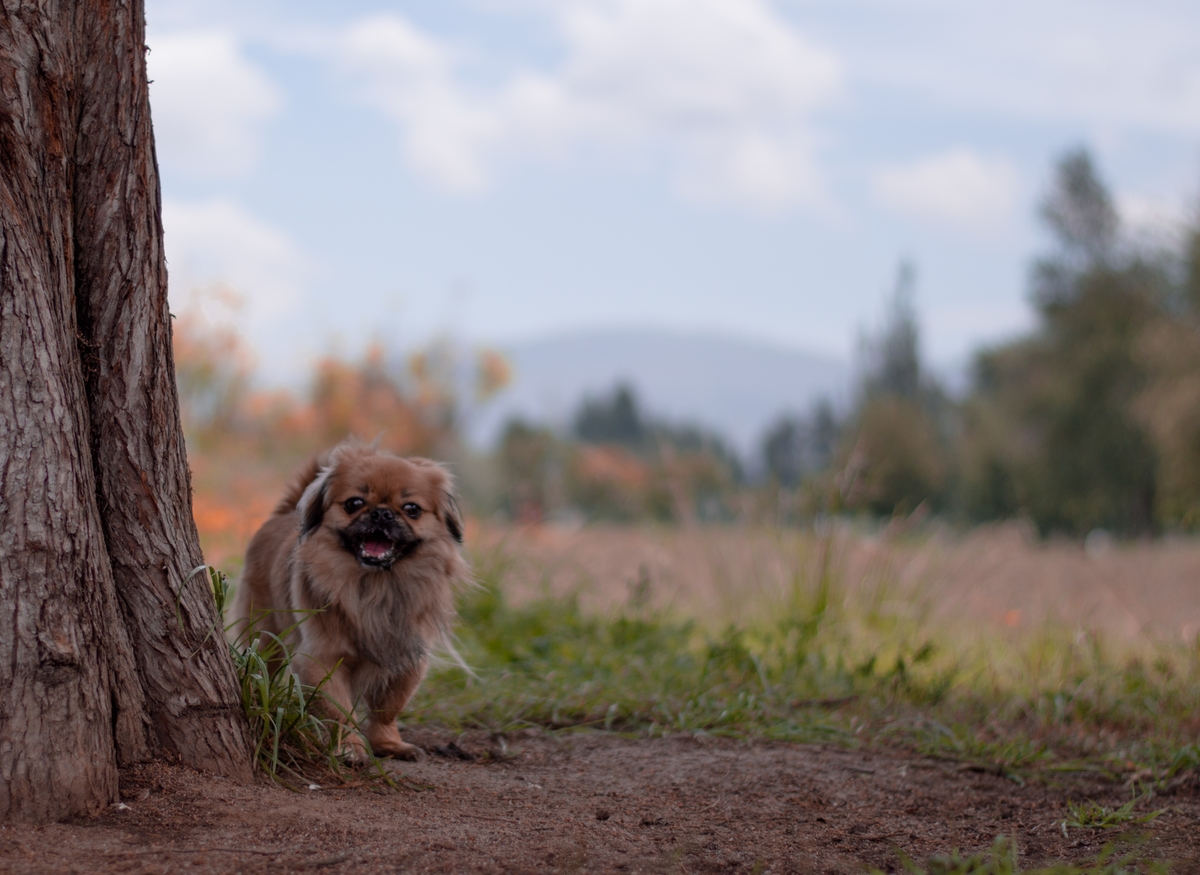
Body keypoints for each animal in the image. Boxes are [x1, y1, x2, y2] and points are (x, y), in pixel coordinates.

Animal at [230, 439, 468, 761]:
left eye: (412, 509)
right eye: (354, 503)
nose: (382, 513)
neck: (376, 587)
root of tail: (283, 514)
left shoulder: (408, 659)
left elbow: (387, 709)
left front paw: (388, 744)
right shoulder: (323, 658)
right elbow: (340, 711)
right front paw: (351, 748)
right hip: (264, 635)